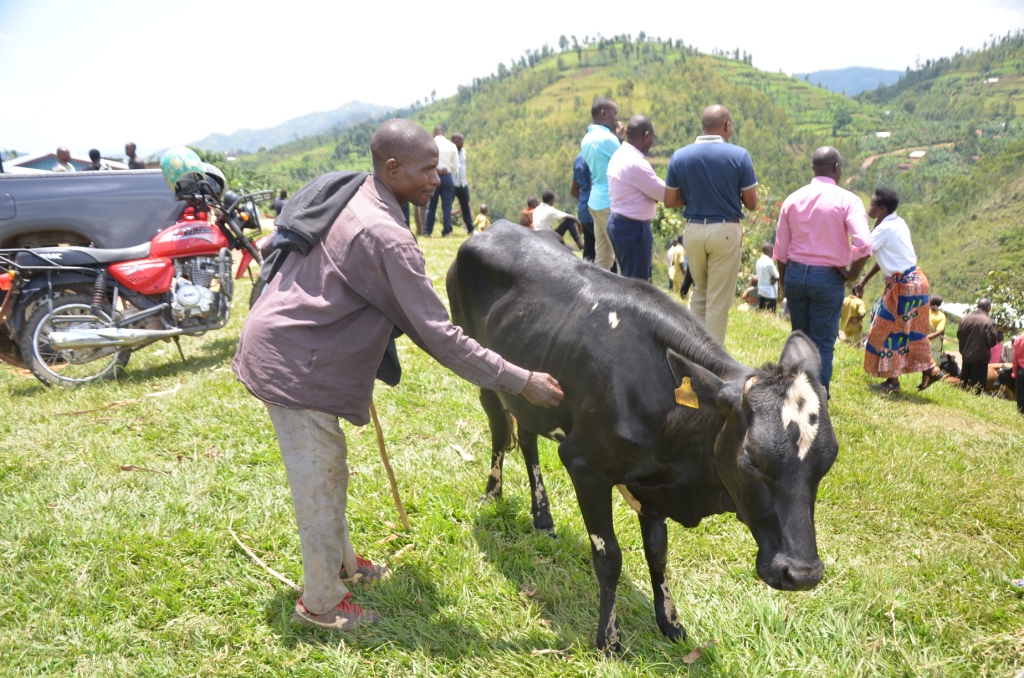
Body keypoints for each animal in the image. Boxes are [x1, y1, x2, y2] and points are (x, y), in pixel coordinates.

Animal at [448, 223, 839, 655]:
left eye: (829, 460)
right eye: (751, 460)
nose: (801, 574)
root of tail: (496, 227)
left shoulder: (654, 486)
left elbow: (658, 555)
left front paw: (670, 623)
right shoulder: (584, 465)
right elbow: (609, 557)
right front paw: (608, 639)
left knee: (528, 438)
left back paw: (542, 515)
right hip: (483, 373)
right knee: (502, 433)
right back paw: (493, 493)